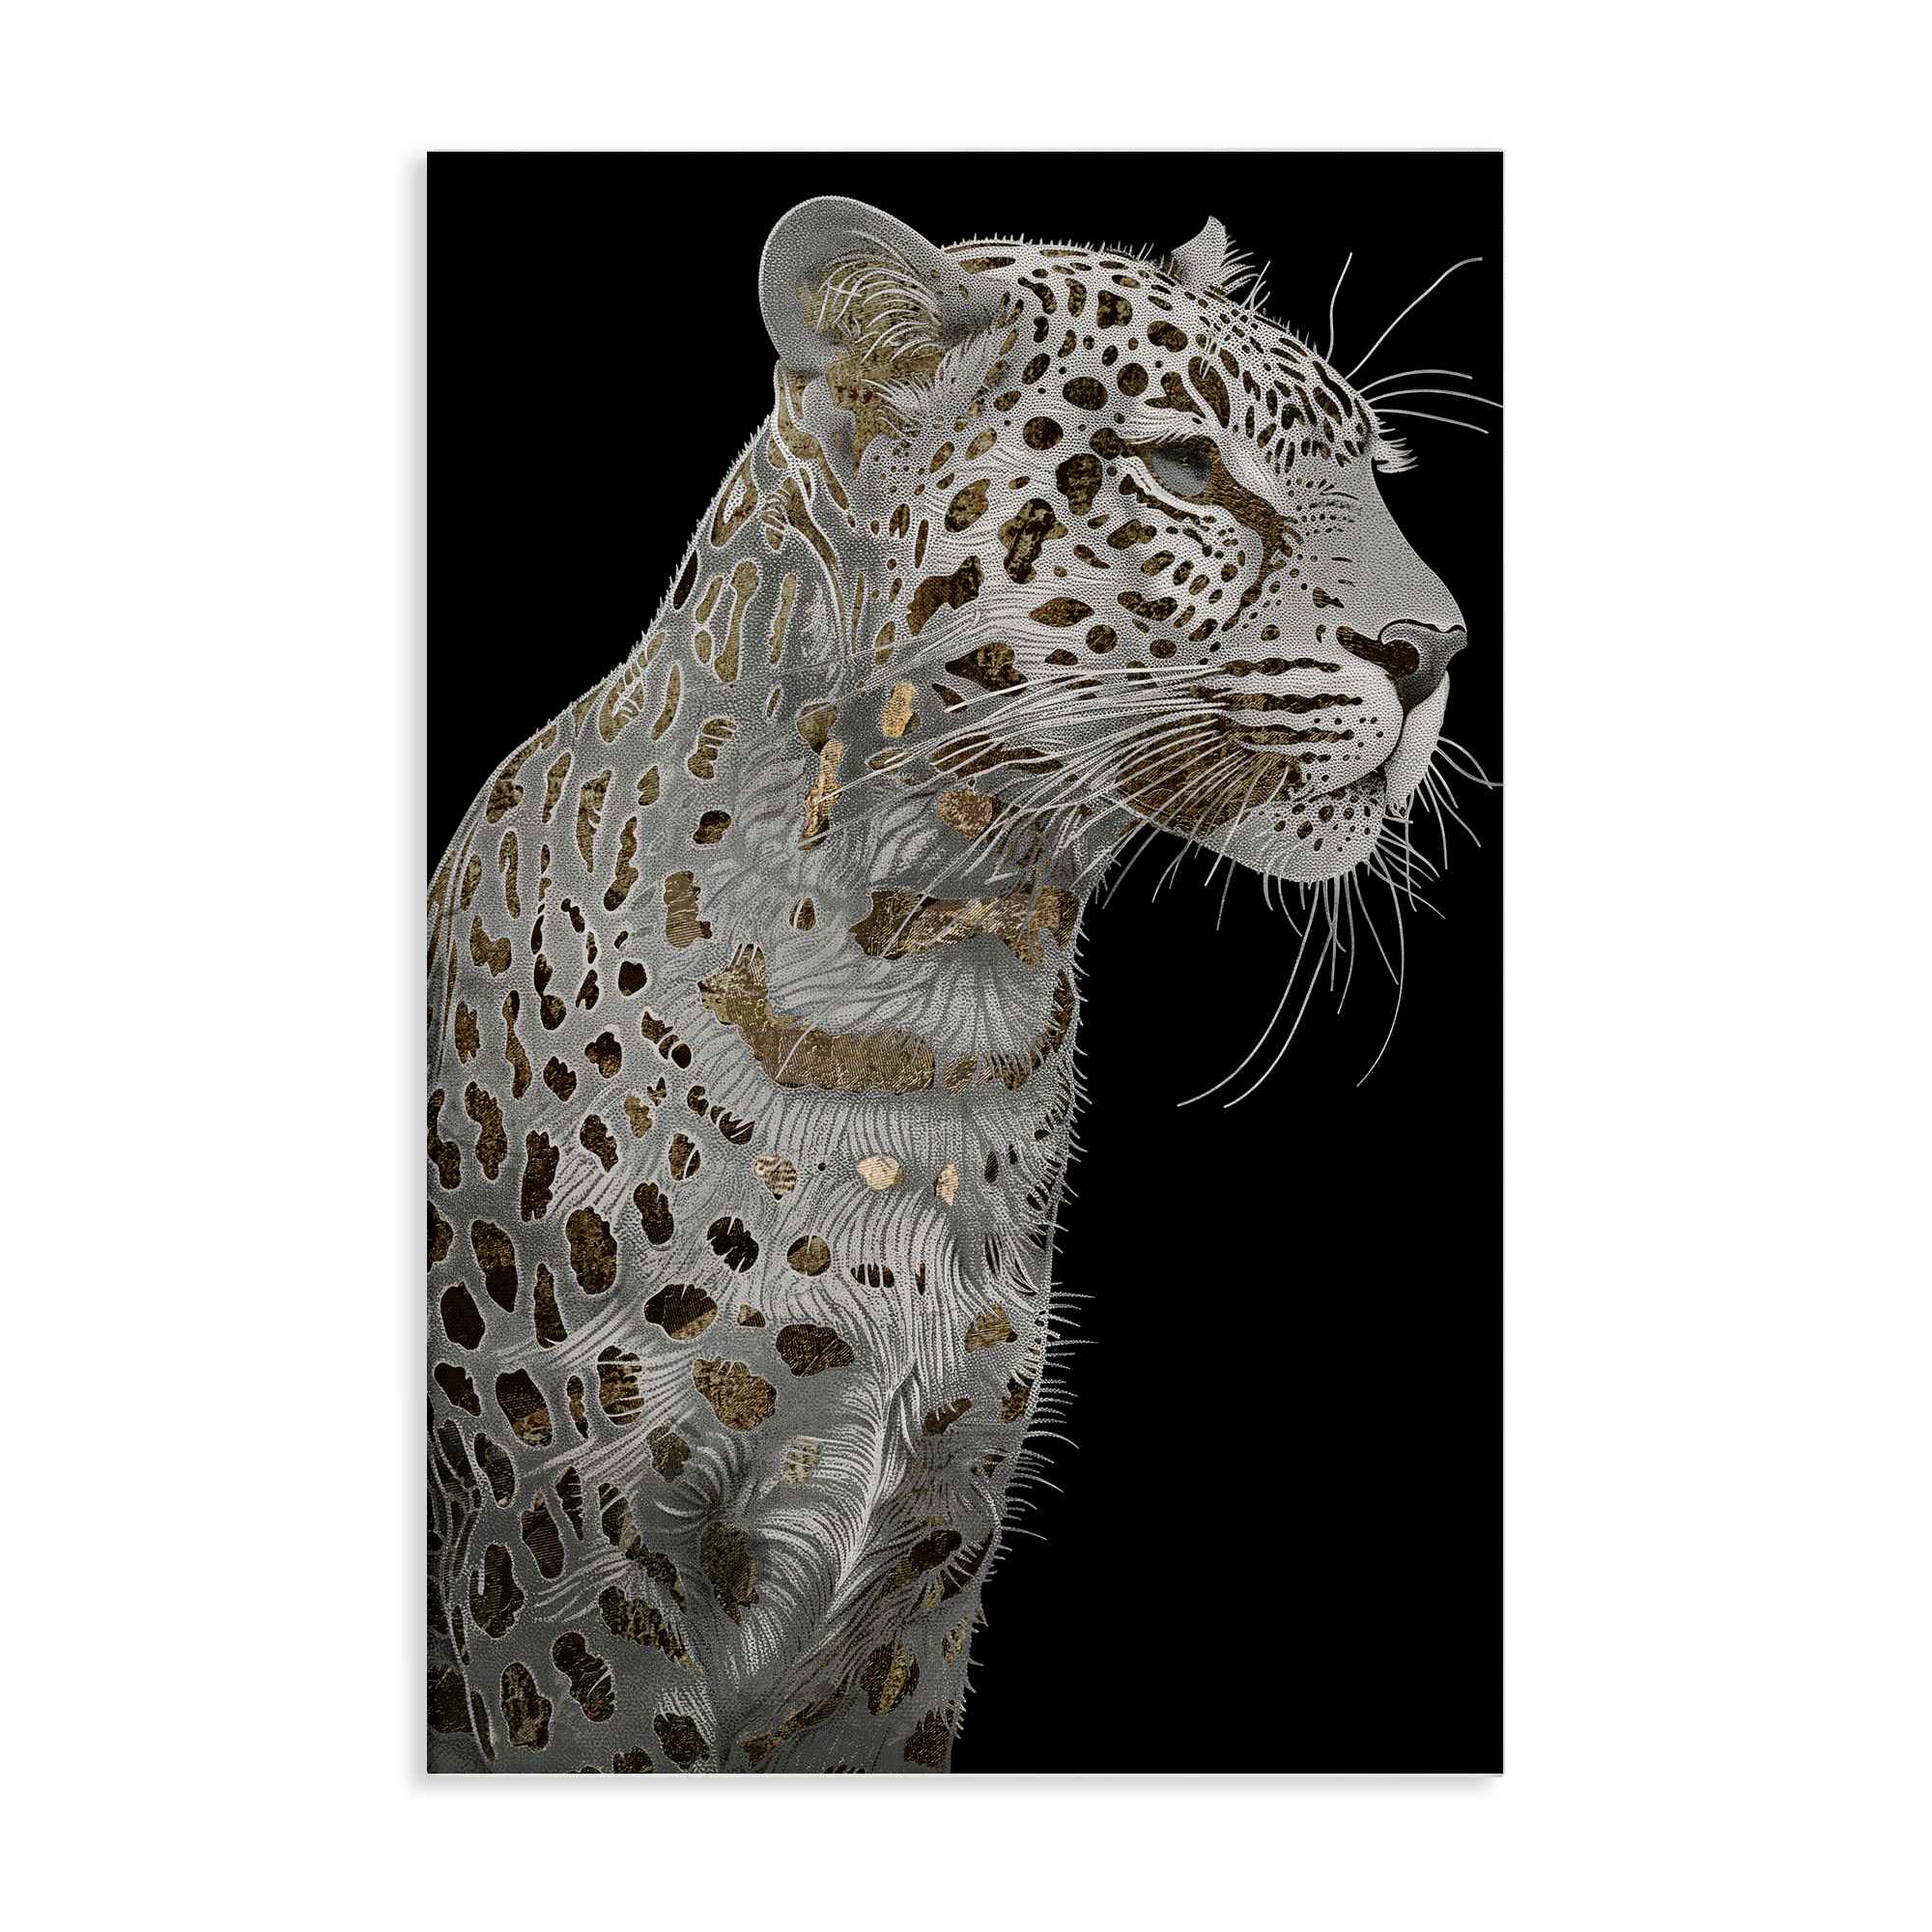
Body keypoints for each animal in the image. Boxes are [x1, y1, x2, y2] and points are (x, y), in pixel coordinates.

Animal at [427, 194, 1479, 1772]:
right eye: (1185, 468)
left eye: (1368, 465)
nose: (1438, 652)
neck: (931, 991)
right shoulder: (566, 1569)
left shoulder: (924, 1568)